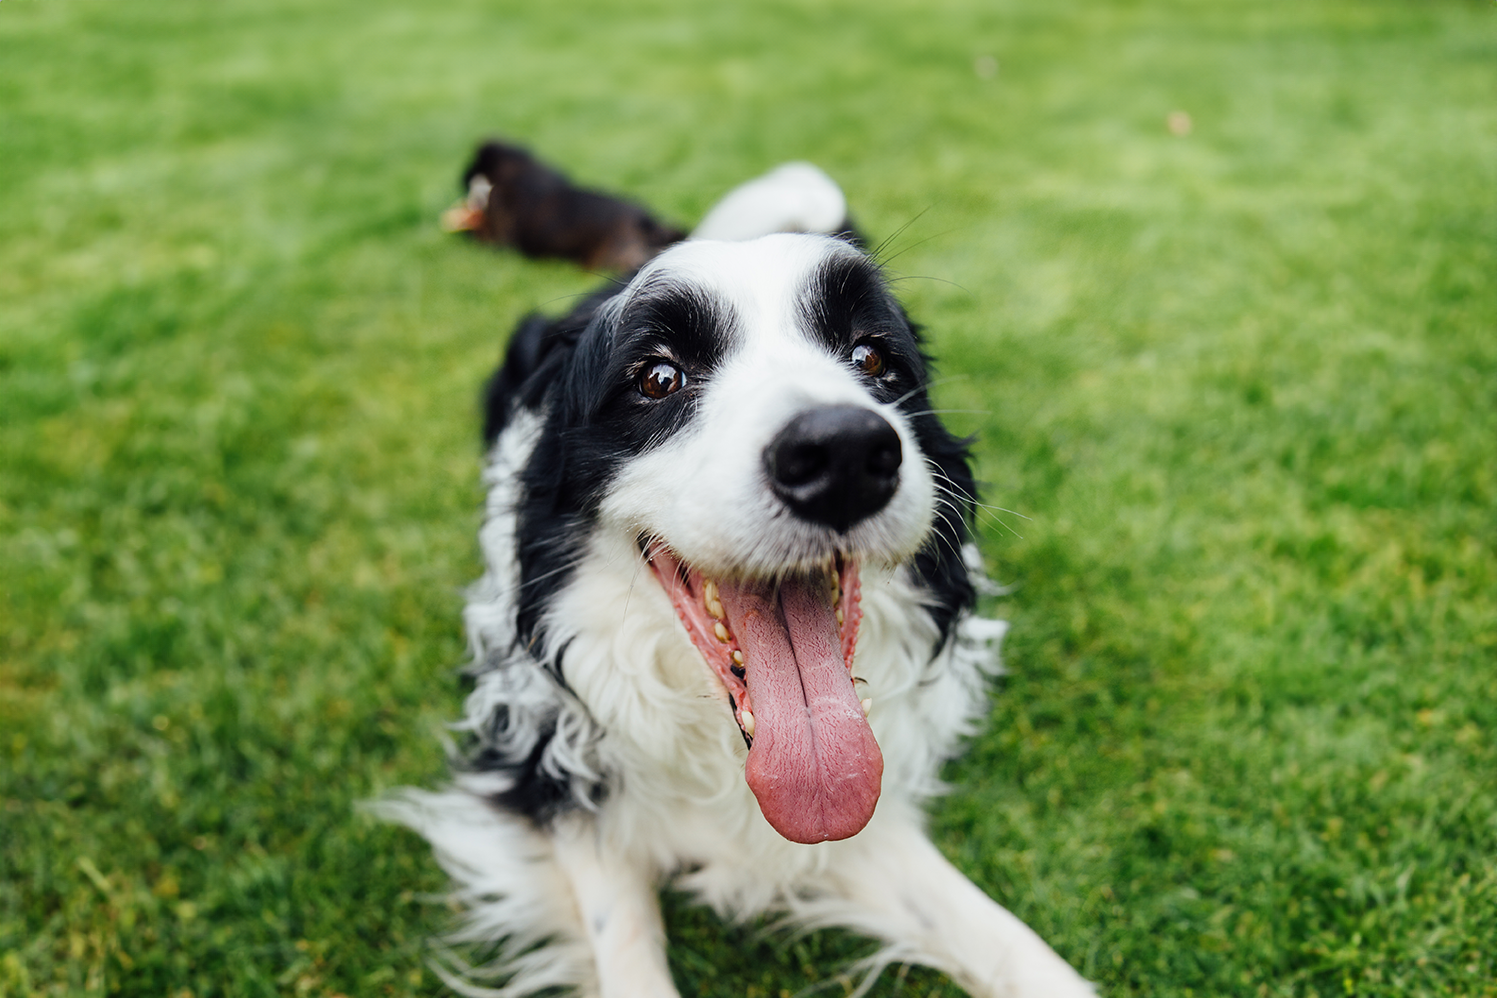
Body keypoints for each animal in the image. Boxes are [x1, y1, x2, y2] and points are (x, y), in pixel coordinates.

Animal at [380, 167, 1095, 993]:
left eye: (872, 359)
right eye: (658, 376)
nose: (841, 455)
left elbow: (1008, 942)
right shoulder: (551, 779)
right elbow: (622, 940)